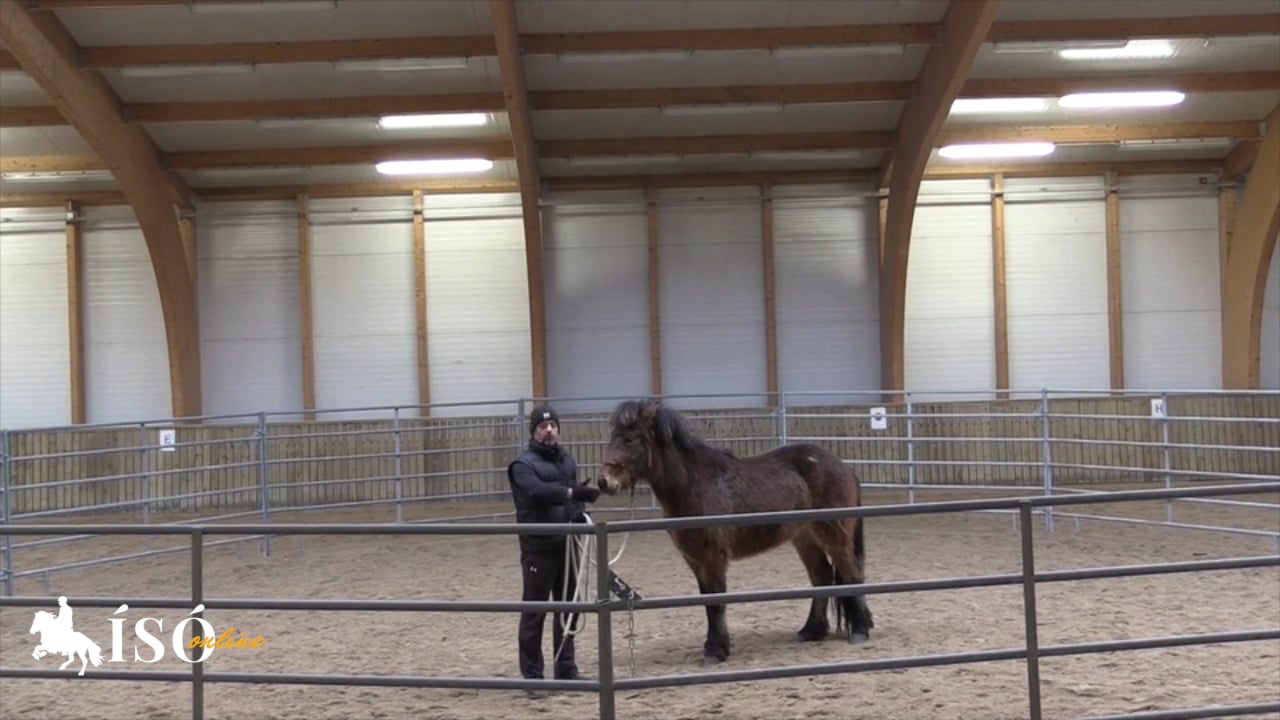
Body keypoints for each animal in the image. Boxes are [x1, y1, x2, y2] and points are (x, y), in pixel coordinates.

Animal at [596, 397, 875, 661]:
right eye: (611, 437)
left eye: (629, 439)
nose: (603, 482)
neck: (696, 485)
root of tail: (844, 467)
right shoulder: (694, 560)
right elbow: (707, 603)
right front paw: (713, 646)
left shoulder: (713, 558)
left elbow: (716, 603)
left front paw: (716, 651)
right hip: (805, 538)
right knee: (822, 577)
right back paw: (812, 630)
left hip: (834, 535)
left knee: (852, 574)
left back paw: (860, 630)